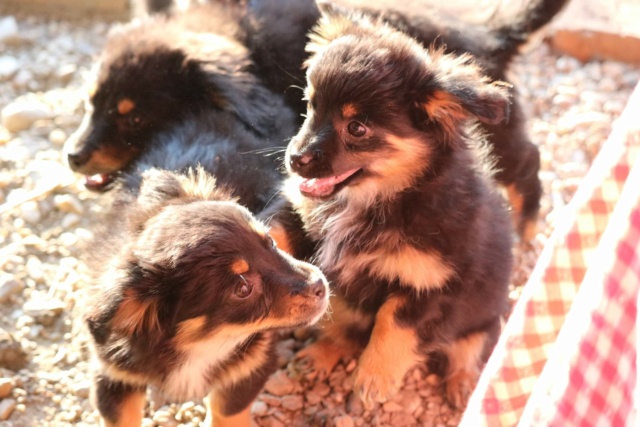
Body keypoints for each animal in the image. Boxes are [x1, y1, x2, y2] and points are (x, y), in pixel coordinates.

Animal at [85, 118, 330, 427]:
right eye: (242, 288)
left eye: (271, 243)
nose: (320, 285)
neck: (201, 345)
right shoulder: (114, 376)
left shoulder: (250, 364)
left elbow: (227, 412)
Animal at [272, 5, 512, 408]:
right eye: (309, 106)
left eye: (356, 128)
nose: (295, 159)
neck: (384, 197)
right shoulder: (307, 222)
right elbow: (276, 231)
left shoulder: (429, 285)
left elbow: (392, 323)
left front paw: (374, 376)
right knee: (343, 329)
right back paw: (320, 354)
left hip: (483, 320)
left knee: (467, 350)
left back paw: (462, 385)